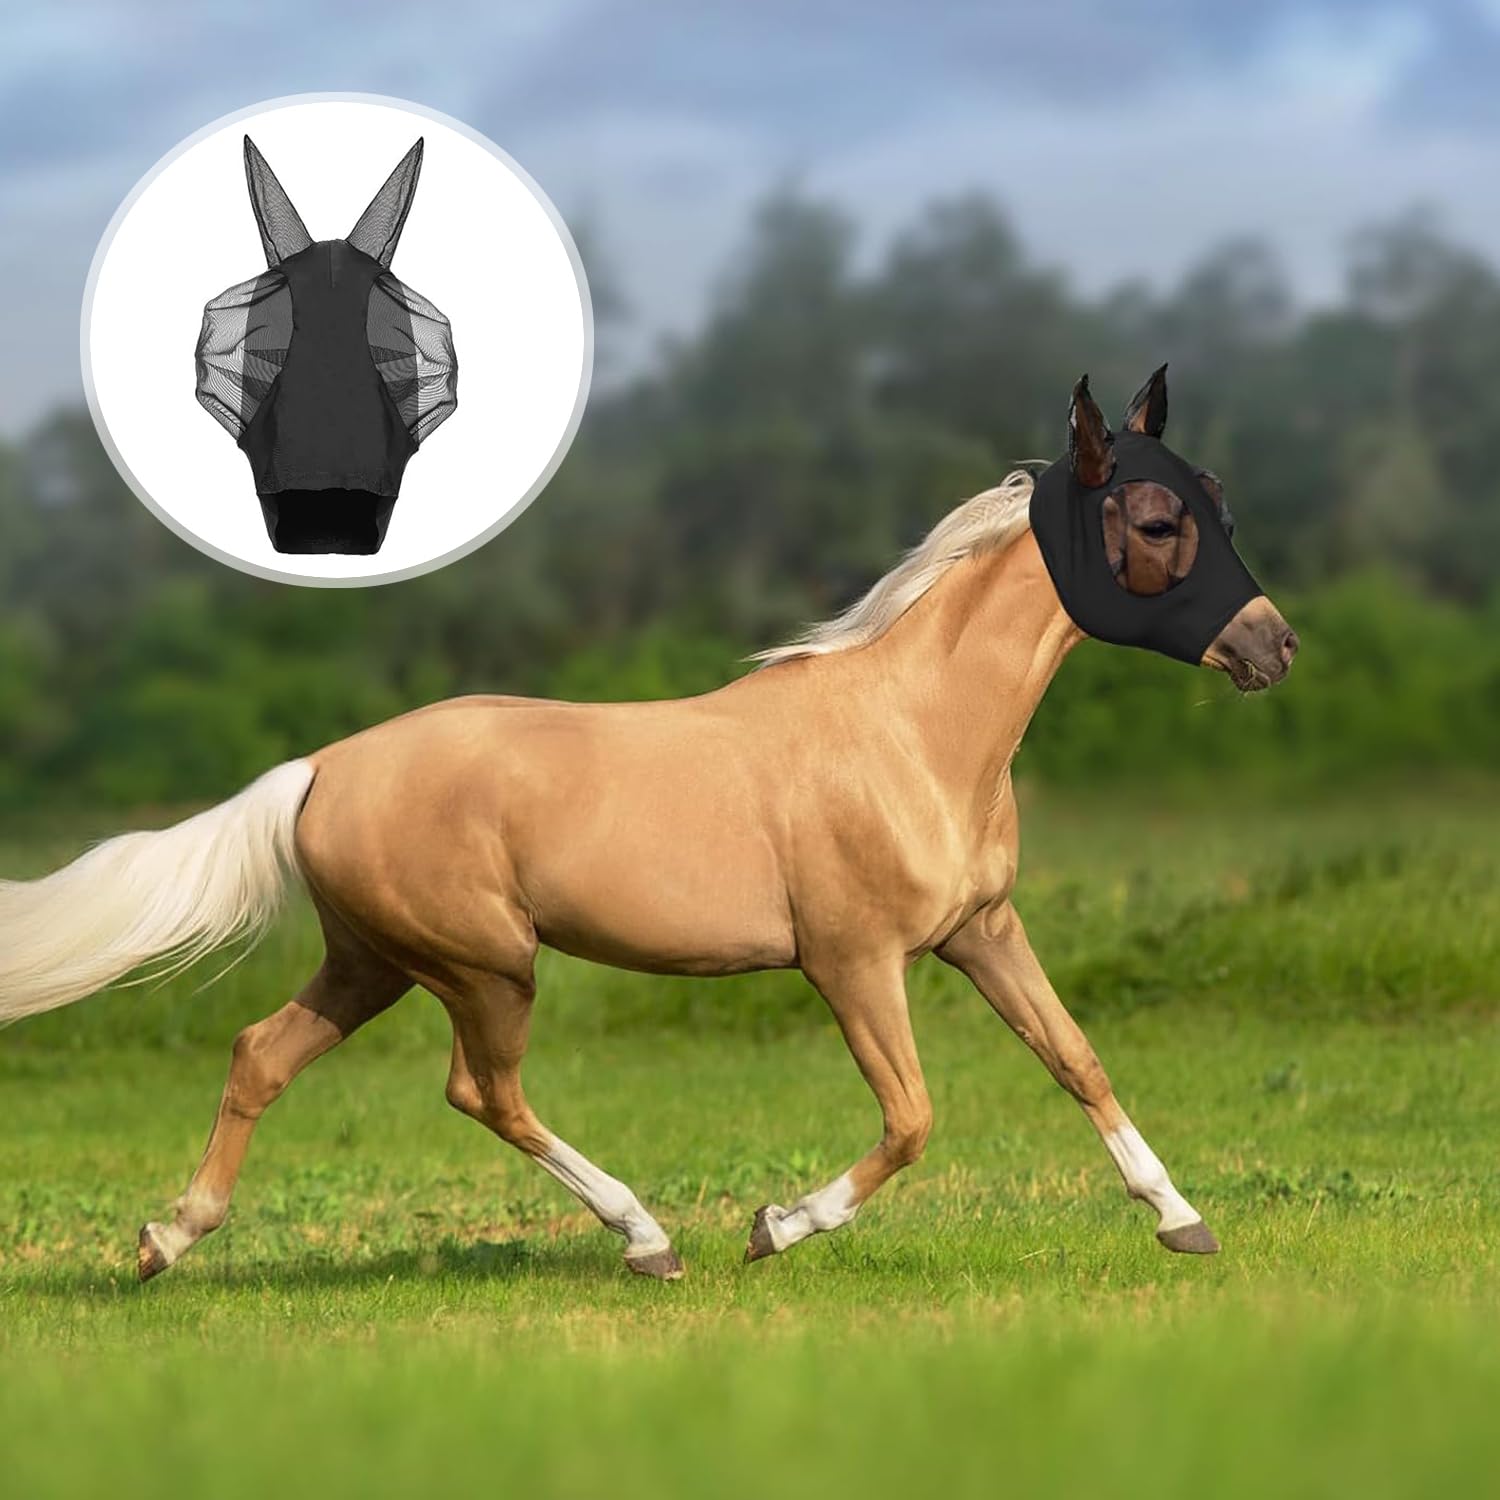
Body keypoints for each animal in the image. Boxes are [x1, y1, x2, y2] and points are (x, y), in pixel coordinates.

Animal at [0, 368, 1298, 1282]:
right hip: (483, 967)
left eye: (1222, 501)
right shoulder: (854, 962)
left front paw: (1183, 1221)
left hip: (374, 961)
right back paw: (649, 1239)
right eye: (1156, 520)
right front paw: (775, 1225)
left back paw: (166, 1241)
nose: (1273, 645)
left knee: (262, 1055)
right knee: (481, 1092)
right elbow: (913, 1118)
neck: (913, 736)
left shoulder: (981, 930)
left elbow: (1076, 1058)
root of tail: (319, 769)